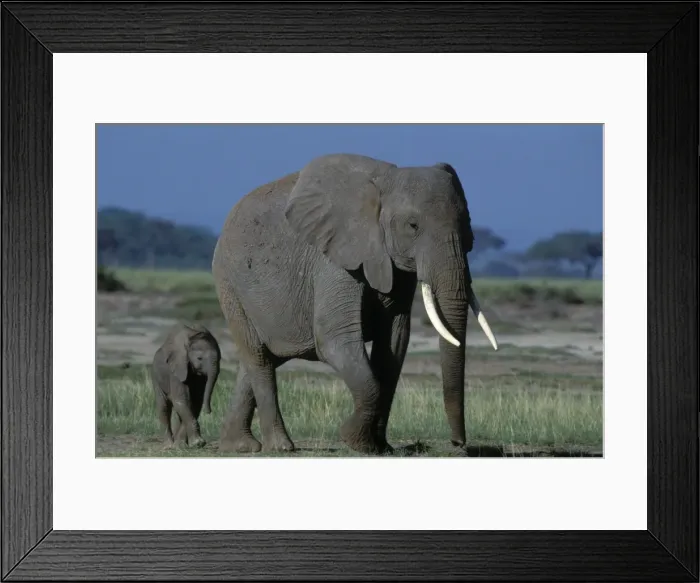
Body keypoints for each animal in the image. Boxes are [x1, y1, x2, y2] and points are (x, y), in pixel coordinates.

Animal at [211, 153, 498, 455]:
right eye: (413, 226)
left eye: (466, 224)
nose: (458, 443)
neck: (385, 182)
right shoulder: (334, 259)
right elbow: (335, 340)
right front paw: (353, 440)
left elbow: (394, 343)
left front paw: (380, 447)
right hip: (229, 283)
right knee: (257, 356)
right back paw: (280, 447)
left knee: (261, 358)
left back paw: (238, 446)